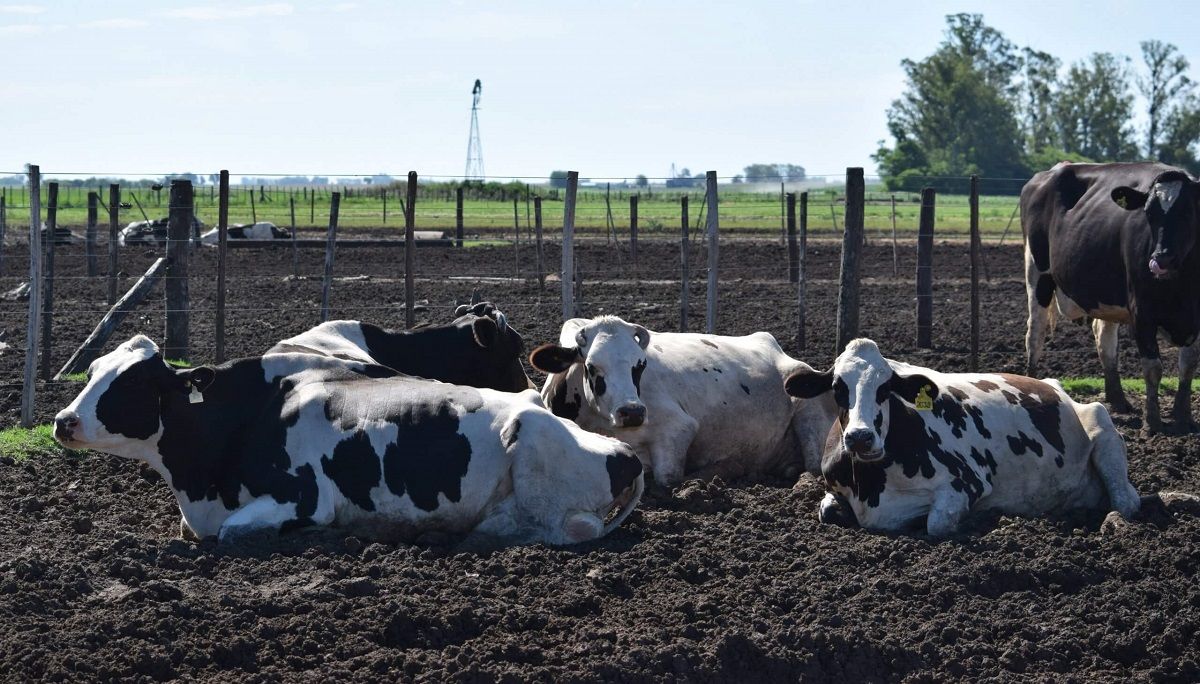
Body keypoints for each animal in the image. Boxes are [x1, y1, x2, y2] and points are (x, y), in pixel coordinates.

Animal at [54, 333, 648, 544]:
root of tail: (625, 453)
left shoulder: (304, 499)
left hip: (530, 440)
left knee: (572, 527)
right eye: (93, 371)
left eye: (132, 384)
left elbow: (231, 533)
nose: (62, 420)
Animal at [530, 316, 840, 487]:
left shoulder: (679, 428)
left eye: (640, 365)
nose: (632, 412)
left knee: (813, 467)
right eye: (592, 366)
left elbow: (666, 478)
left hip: (809, 414)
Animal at [1022, 159, 1200, 432]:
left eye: (1189, 212)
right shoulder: (1142, 314)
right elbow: (1153, 369)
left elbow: (1189, 364)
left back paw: (1118, 399)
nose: (1161, 258)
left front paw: (1184, 416)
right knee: (1035, 334)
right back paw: (1031, 384)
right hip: (1037, 273)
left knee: (1104, 339)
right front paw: (1153, 422)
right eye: (1149, 214)